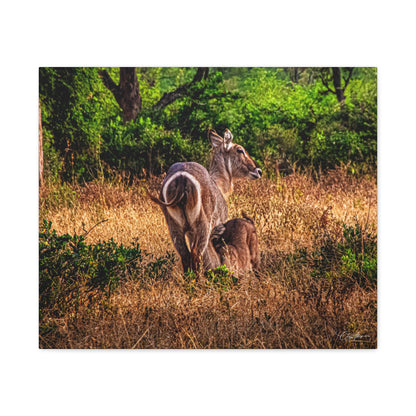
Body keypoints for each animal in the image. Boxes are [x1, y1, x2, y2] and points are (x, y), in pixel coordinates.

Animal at [149, 130, 260, 272]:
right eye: (240, 150)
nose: (258, 171)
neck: (218, 186)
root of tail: (182, 177)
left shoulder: (190, 233)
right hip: (202, 224)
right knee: (196, 254)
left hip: (174, 226)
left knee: (185, 256)